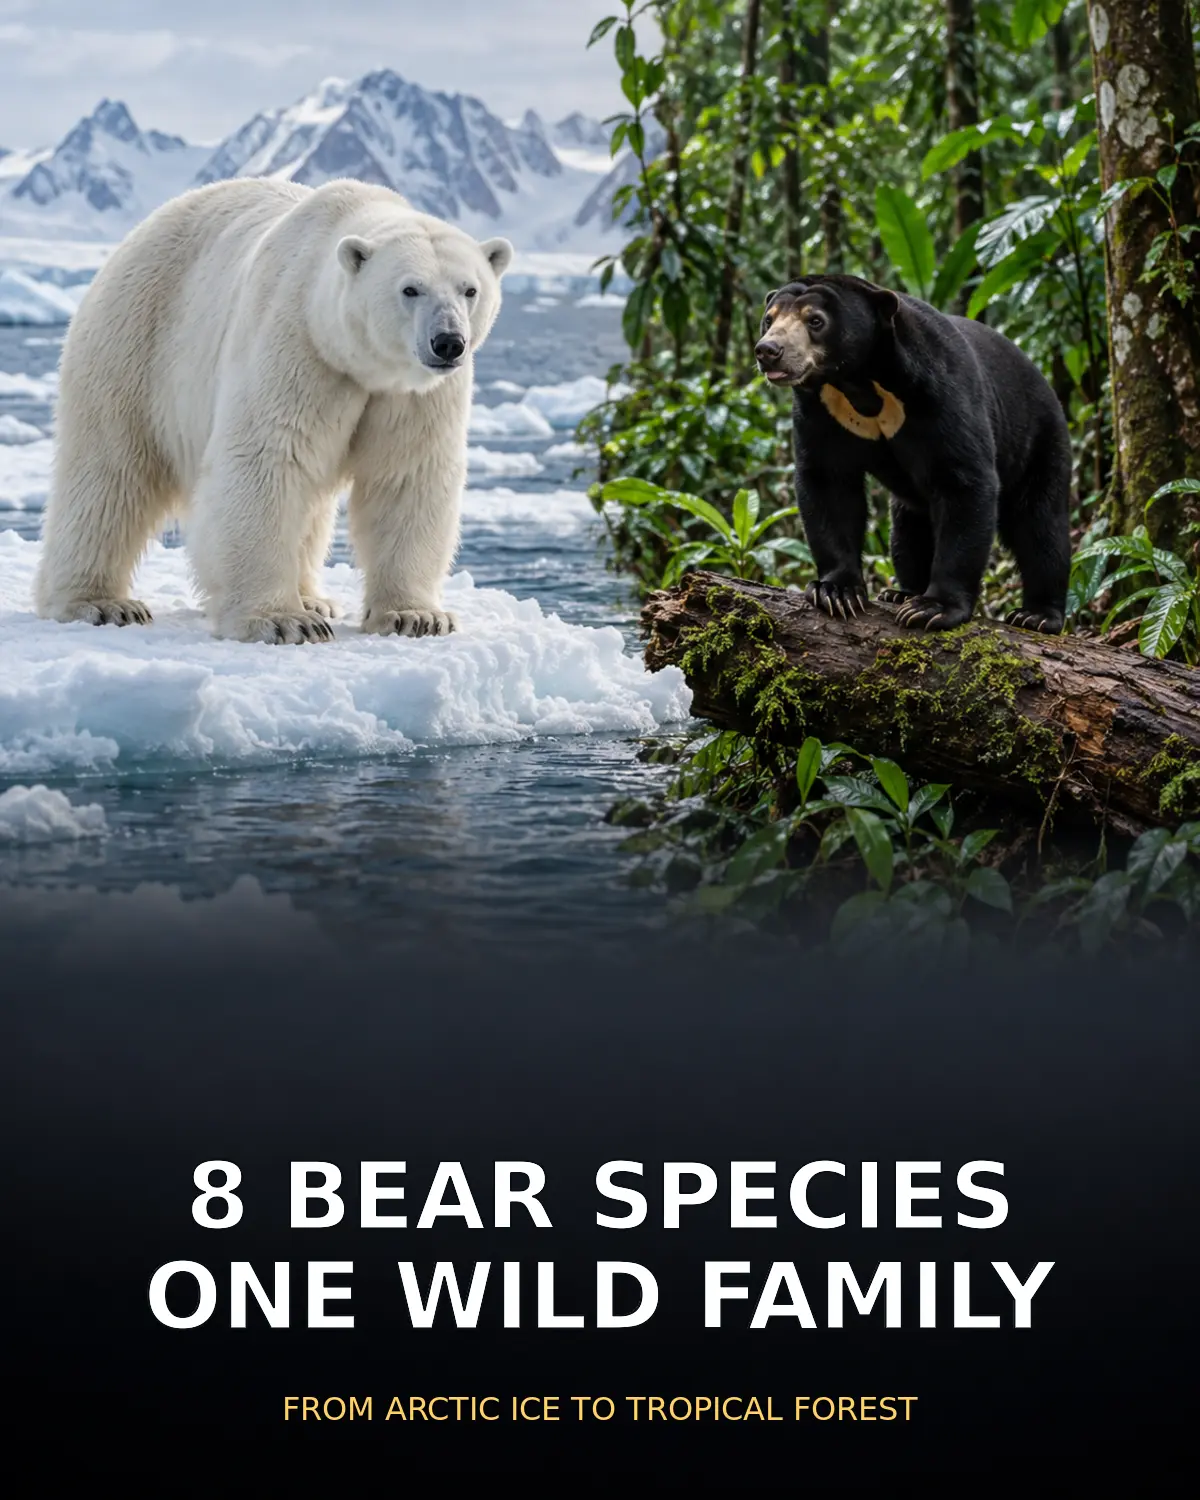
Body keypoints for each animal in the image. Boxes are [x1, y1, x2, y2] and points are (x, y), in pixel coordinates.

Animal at [34, 177, 513, 643]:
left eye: (470, 289)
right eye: (410, 289)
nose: (448, 342)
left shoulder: (414, 395)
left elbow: (407, 475)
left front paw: (415, 616)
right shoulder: (296, 343)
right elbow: (267, 458)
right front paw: (282, 621)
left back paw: (313, 598)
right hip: (137, 340)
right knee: (109, 473)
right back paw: (100, 603)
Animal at [754, 273, 1072, 633]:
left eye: (816, 321)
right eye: (769, 319)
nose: (768, 350)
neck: (858, 380)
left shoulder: (939, 393)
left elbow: (964, 481)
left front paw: (934, 608)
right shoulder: (820, 410)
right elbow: (827, 483)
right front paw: (836, 592)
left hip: (1040, 440)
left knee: (1040, 524)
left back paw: (1037, 615)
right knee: (908, 529)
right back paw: (902, 592)